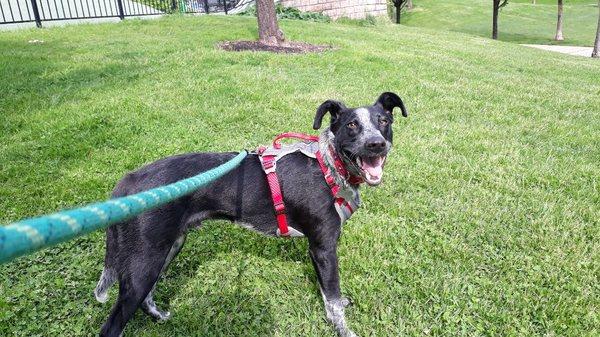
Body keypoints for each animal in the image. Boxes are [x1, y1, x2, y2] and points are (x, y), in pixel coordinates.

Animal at [95, 92, 408, 336]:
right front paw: (343, 329)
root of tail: (128, 182)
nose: (376, 144)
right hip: (145, 260)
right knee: (113, 325)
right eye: (352, 125)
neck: (329, 165)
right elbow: (331, 299)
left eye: (383, 122)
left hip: (167, 248)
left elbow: (331, 298)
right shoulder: (323, 247)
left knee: (147, 295)